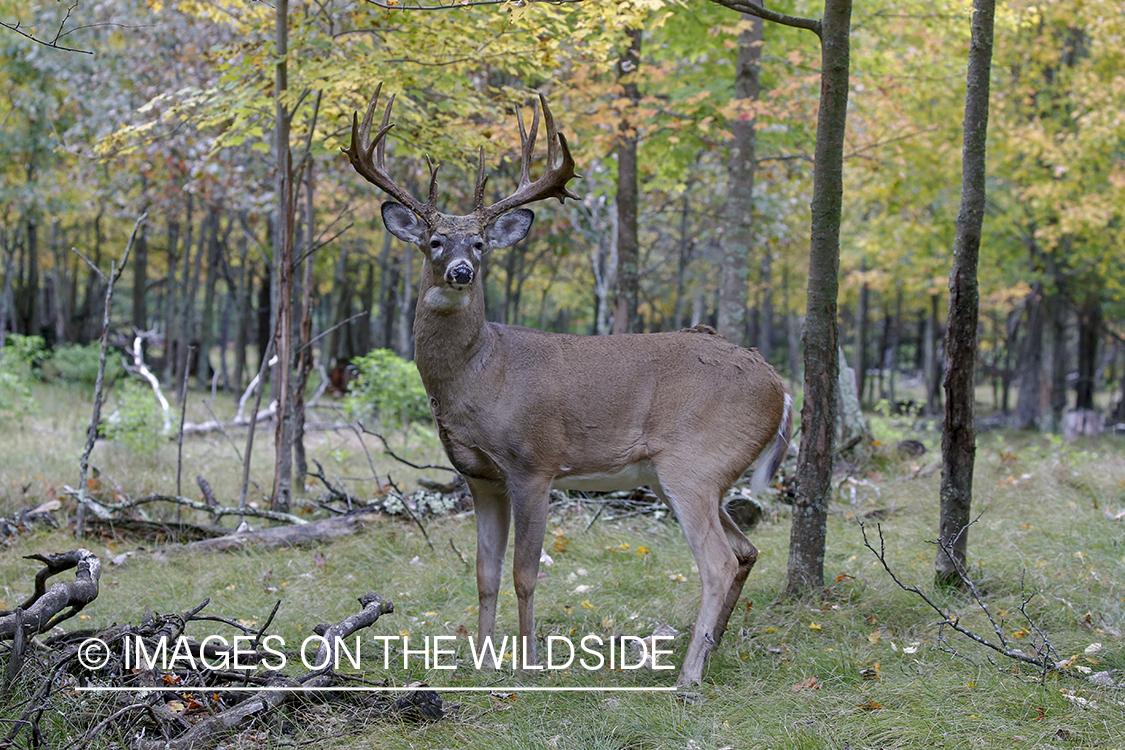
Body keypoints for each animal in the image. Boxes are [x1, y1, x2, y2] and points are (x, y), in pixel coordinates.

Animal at [342, 84, 792, 688]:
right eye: (434, 242)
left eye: (480, 243)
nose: (461, 271)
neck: (481, 374)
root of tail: (780, 386)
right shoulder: (479, 476)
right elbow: (484, 573)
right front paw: (483, 660)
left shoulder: (534, 462)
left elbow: (524, 572)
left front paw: (529, 661)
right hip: (687, 473)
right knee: (746, 550)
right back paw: (711, 647)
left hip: (695, 460)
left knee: (719, 561)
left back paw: (688, 678)